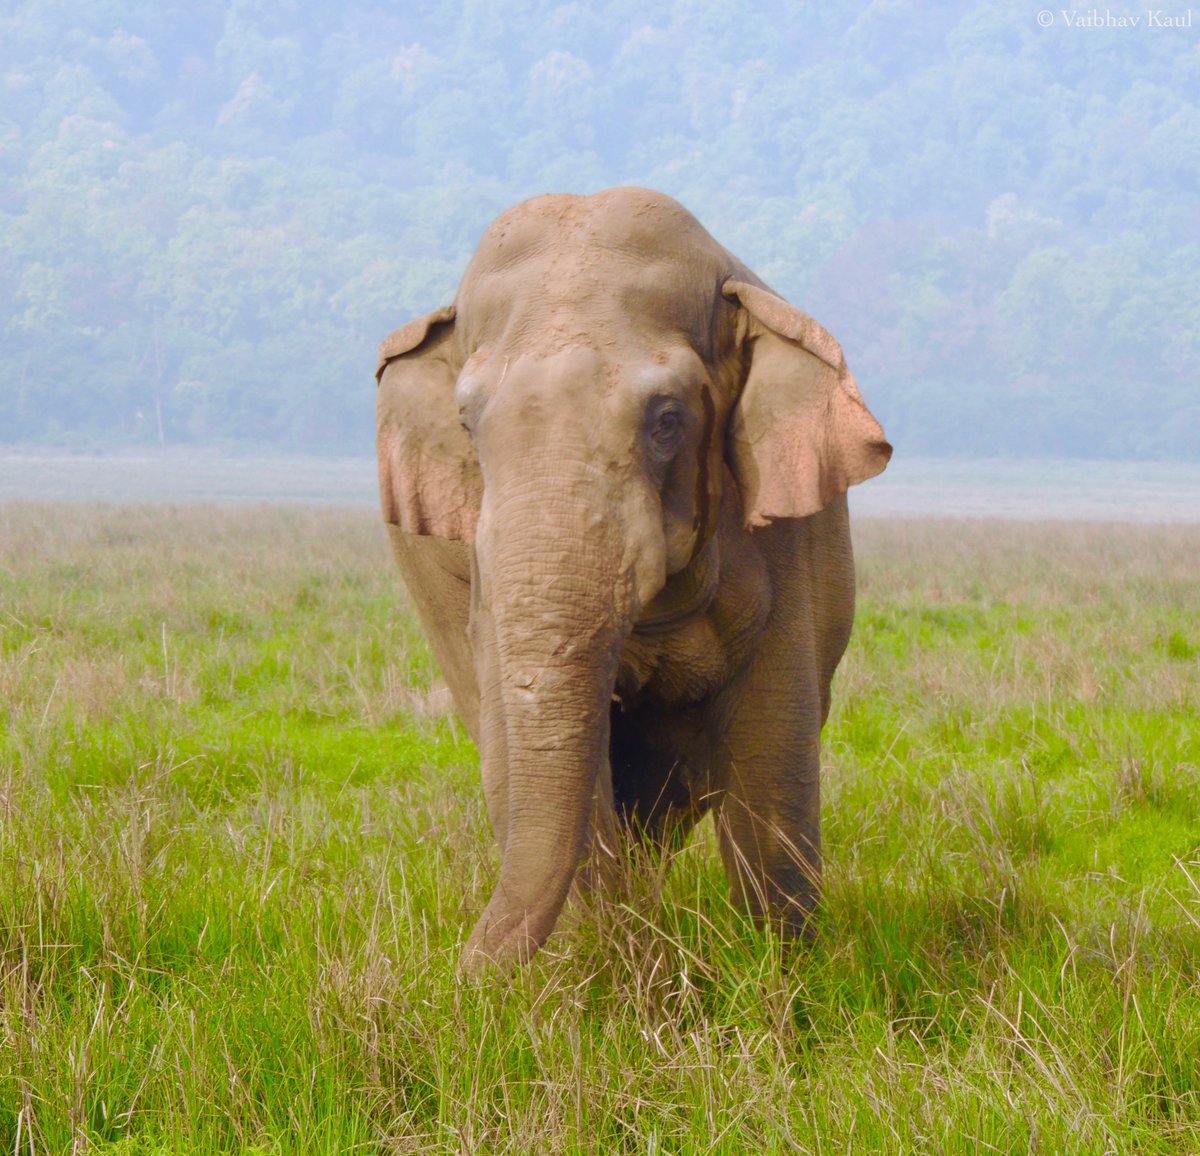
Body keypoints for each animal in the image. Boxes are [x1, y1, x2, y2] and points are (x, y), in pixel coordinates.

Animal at [374, 187, 892, 965]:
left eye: (667, 420)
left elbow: (773, 747)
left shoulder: (788, 530)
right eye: (466, 425)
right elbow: (531, 754)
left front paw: (784, 974)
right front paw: (600, 964)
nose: (457, 975)